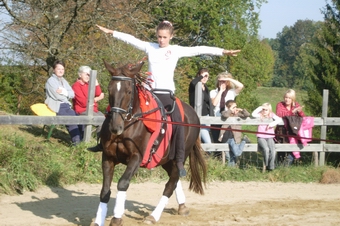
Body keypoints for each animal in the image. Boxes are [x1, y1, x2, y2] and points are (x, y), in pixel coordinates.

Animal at [91, 59, 206, 225]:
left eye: (129, 91)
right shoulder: (108, 157)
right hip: (165, 159)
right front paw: (99, 221)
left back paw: (154, 216)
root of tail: (193, 114)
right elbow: (105, 190)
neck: (127, 126)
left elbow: (123, 183)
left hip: (179, 156)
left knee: (171, 183)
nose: (115, 127)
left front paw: (117, 218)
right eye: (109, 89)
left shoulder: (136, 157)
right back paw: (182, 207)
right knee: (174, 179)